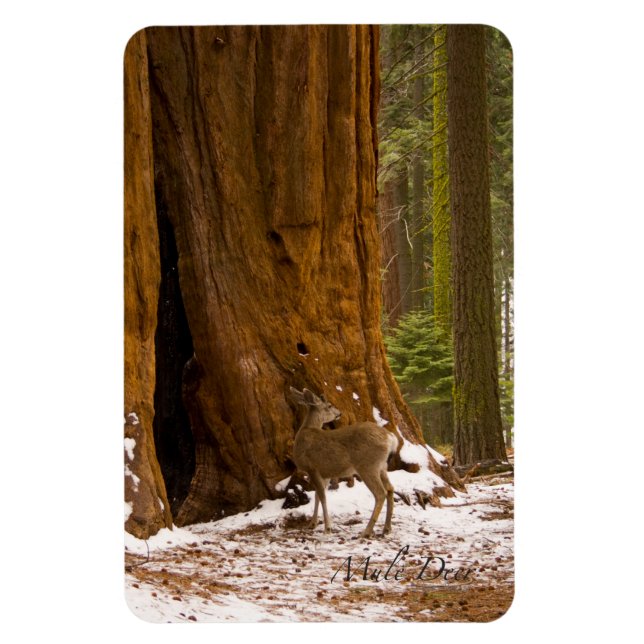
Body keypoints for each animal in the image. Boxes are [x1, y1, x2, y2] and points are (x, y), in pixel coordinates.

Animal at [288, 387, 399, 538]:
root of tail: (390, 438)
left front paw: (327, 528)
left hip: (368, 466)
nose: (339, 413)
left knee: (380, 493)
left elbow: (322, 496)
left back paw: (367, 531)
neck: (306, 431)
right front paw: (313, 523)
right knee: (390, 489)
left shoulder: (312, 468)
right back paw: (386, 528)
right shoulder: (324, 472)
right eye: (329, 405)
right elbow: (318, 495)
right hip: (382, 466)